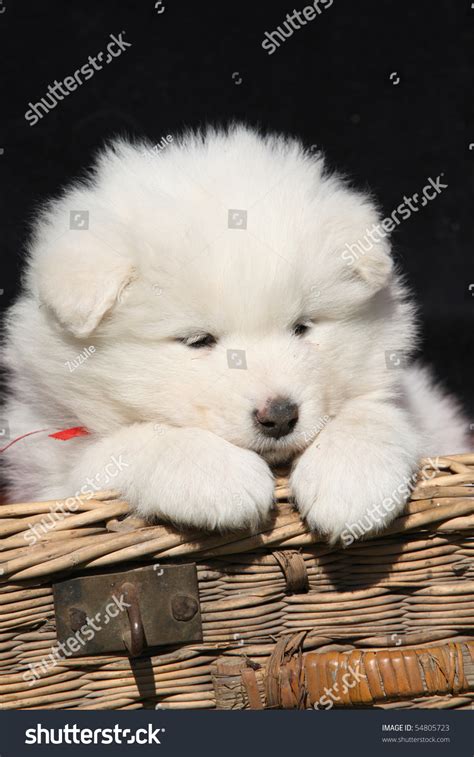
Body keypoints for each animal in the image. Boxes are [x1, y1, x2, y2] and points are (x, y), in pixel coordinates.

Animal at [0, 125, 468, 536]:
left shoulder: (420, 413)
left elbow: (373, 412)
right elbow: (131, 441)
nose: (279, 416)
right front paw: (216, 476)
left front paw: (351, 477)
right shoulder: (50, 468)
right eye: (197, 341)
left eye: (302, 327)